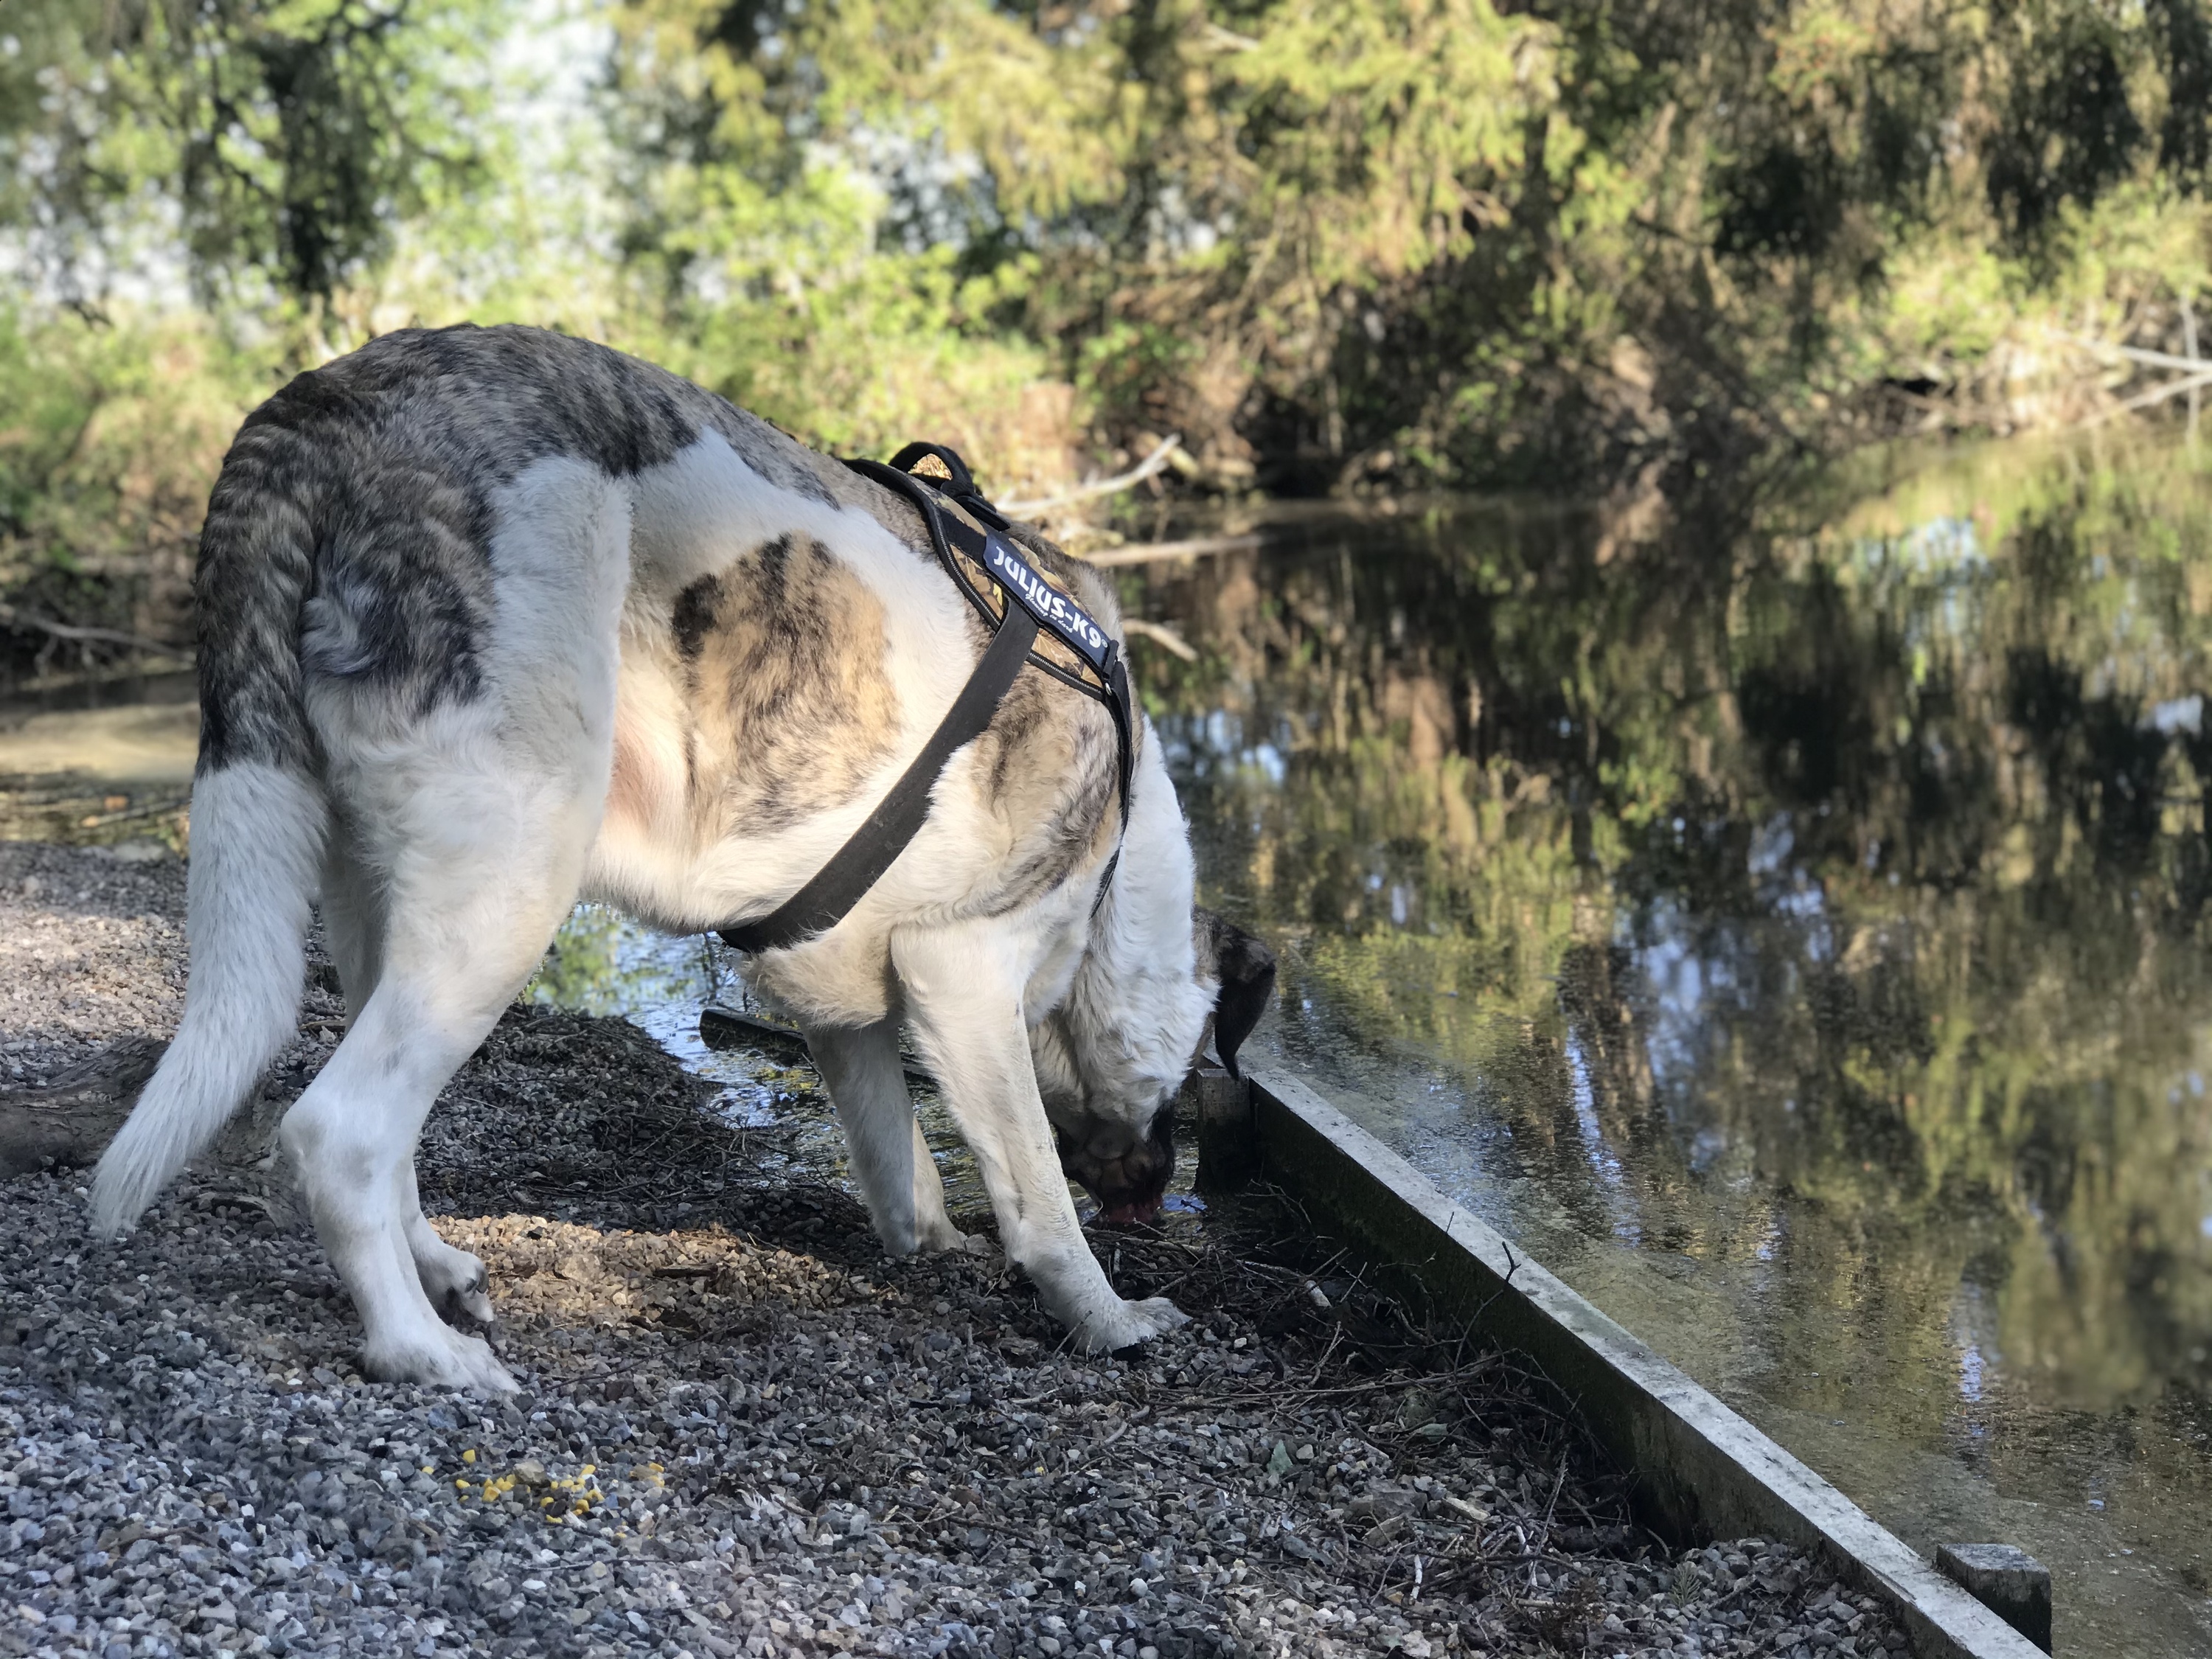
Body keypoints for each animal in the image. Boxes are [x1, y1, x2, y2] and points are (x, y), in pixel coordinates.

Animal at [91, 321, 1283, 1389]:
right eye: (1185, 1080)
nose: (1155, 1182)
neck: (1123, 853)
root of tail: (315, 411)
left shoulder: (849, 1008)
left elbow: (898, 1158)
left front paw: (937, 1245)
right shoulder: (966, 970)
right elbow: (1035, 1190)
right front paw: (1111, 1316)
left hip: (379, 892)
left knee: (388, 1126)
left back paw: (432, 1270)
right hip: (512, 876)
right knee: (338, 1134)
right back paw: (419, 1351)